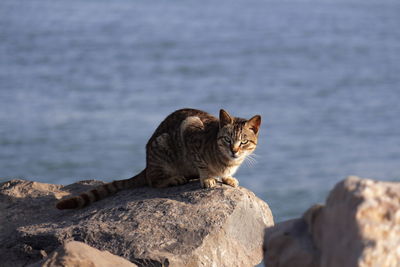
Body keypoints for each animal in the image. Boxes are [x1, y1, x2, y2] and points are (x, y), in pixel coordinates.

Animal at [57, 108, 262, 210]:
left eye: (243, 142)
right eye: (227, 139)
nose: (234, 151)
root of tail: (146, 165)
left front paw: (228, 178)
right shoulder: (190, 128)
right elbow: (201, 164)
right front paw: (208, 178)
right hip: (161, 147)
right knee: (153, 181)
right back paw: (174, 178)